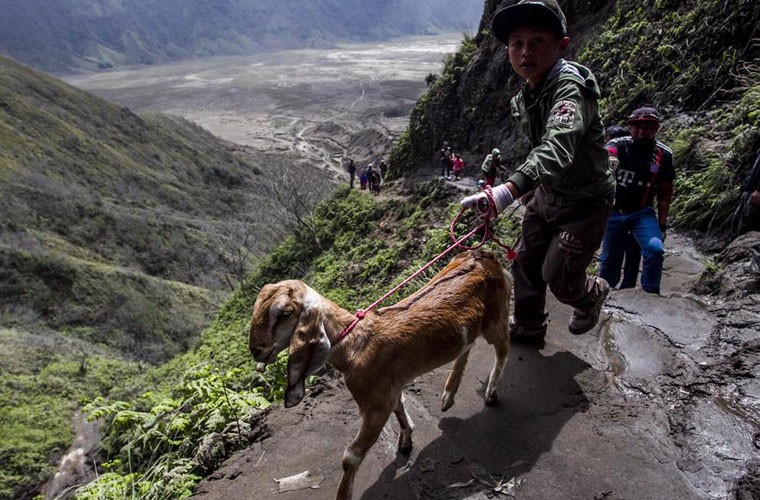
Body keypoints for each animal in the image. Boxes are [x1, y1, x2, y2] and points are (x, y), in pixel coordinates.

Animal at [249, 250, 510, 500]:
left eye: (285, 312)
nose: (256, 350)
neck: (355, 344)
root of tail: (483, 255)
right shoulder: (390, 389)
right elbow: (400, 408)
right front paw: (406, 440)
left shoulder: (376, 404)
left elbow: (350, 457)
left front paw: (343, 494)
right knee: (466, 347)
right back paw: (448, 395)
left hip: (497, 315)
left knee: (502, 349)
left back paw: (490, 393)